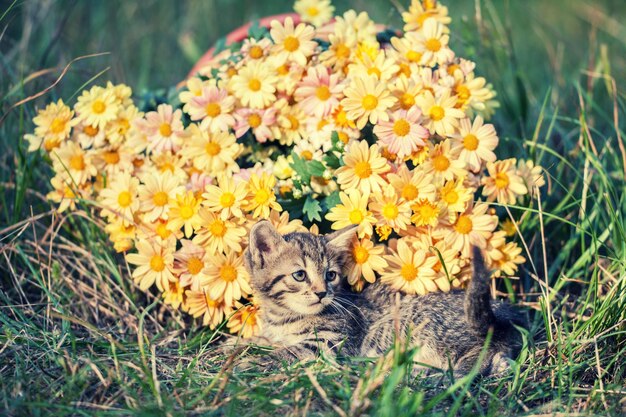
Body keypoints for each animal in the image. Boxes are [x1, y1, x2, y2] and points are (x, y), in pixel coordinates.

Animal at [240, 219, 528, 376]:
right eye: (300, 275)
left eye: (330, 275)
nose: (322, 293)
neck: (284, 317)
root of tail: (503, 317)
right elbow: (262, 341)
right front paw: (241, 345)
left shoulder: (328, 344)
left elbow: (289, 351)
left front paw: (248, 360)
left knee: (475, 358)